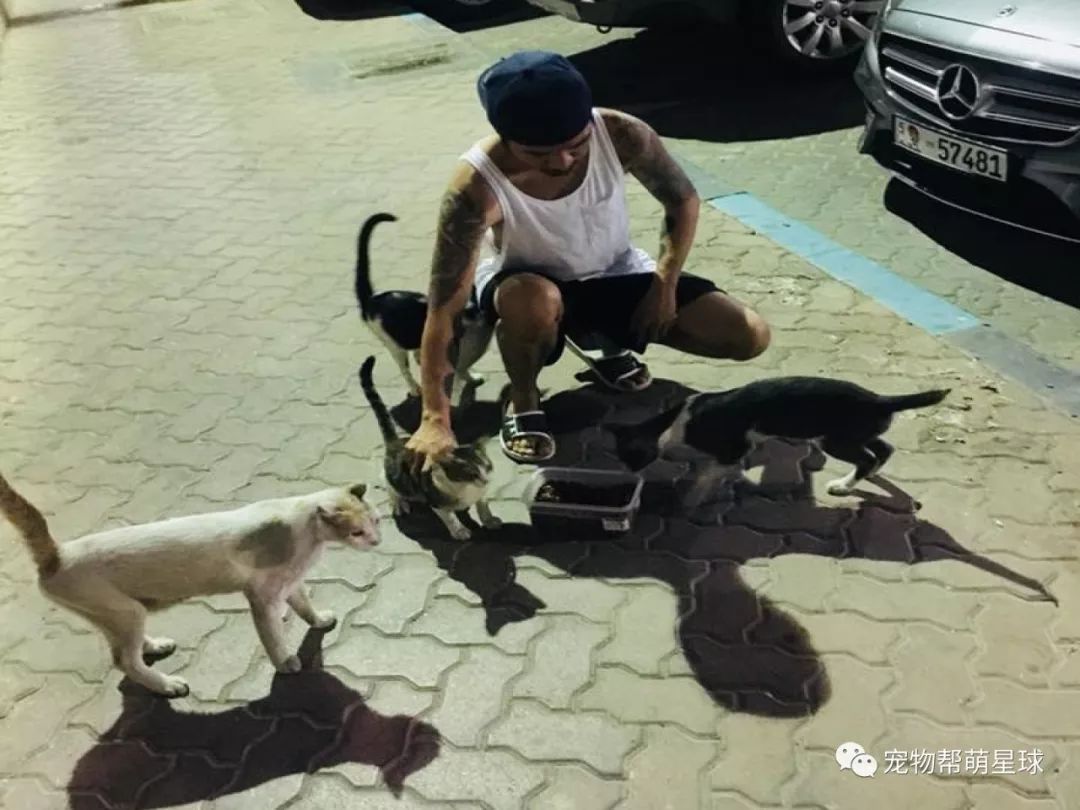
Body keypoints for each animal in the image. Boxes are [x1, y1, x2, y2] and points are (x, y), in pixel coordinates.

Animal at [0, 475, 380, 699]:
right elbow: (273, 636)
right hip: (126, 612)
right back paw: (167, 685)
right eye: (357, 531)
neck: (309, 536)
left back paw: (155, 646)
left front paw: (319, 621)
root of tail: (58, 554)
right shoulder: (262, 596)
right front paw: (286, 661)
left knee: (122, 650)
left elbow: (305, 606)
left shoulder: (290, 583)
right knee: (124, 661)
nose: (377, 541)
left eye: (376, 521)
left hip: (116, 612)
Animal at [354, 213, 494, 406]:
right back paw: (415, 388)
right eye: (468, 310)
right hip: (395, 345)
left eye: (474, 300)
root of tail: (372, 299)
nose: (475, 313)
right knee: (405, 368)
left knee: (418, 355)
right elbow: (461, 369)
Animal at [358, 356, 501, 542]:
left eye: (488, 467)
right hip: (397, 479)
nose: (486, 481)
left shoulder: (481, 494)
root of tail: (396, 442)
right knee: (389, 485)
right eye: (471, 473)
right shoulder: (436, 502)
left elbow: (483, 506)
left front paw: (489, 520)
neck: (466, 489)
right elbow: (450, 517)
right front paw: (460, 531)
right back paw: (398, 502)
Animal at [613, 380, 950, 501]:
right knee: (883, 449)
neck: (674, 421)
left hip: (835, 439)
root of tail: (880, 399)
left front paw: (696, 496)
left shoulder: (735, 446)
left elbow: (711, 473)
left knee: (868, 457)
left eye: (630, 456)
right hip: (857, 434)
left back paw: (843, 486)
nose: (628, 477)